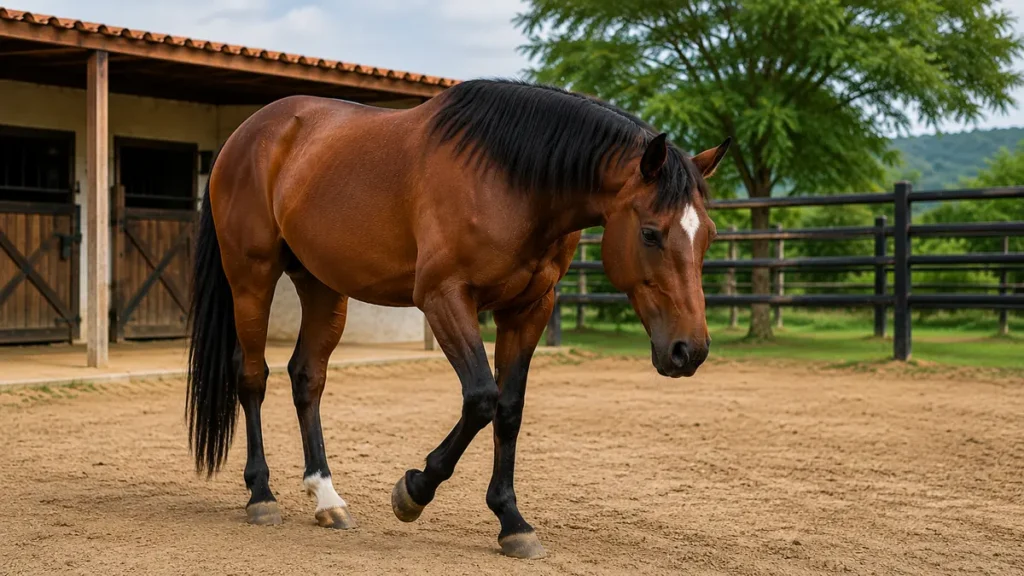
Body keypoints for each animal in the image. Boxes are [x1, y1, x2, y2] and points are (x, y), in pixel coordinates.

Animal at [186, 78, 730, 559]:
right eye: (651, 233)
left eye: (708, 235)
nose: (689, 350)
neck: (512, 179)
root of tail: (246, 133)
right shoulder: (444, 298)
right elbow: (482, 398)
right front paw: (413, 491)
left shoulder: (528, 309)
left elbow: (509, 408)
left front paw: (512, 522)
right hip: (252, 277)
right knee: (252, 376)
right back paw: (261, 496)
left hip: (322, 285)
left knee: (307, 377)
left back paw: (327, 498)